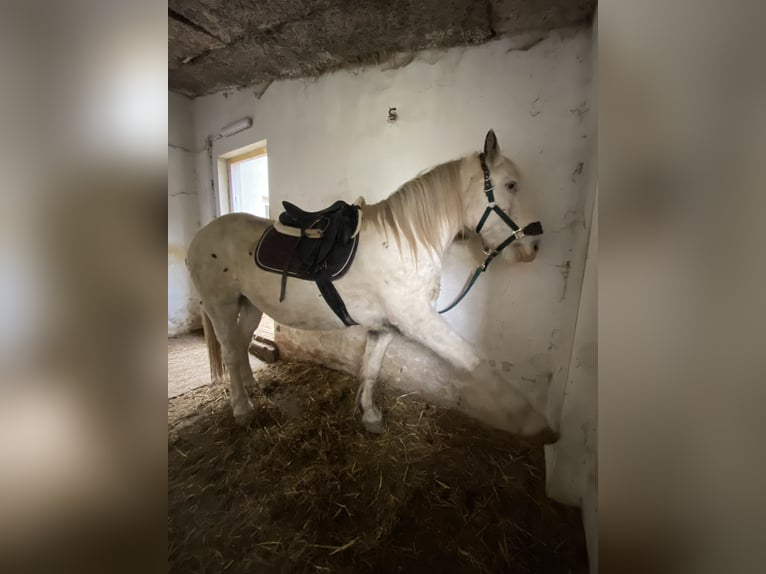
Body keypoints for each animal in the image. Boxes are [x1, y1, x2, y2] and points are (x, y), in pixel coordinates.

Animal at [186, 130, 558, 443]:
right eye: (511, 185)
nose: (534, 245)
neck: (406, 243)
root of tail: (200, 237)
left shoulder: (385, 327)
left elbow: (371, 370)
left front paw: (370, 417)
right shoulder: (418, 321)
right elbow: (474, 362)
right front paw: (536, 425)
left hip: (250, 304)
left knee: (241, 342)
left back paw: (250, 387)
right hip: (221, 306)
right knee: (230, 350)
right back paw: (242, 408)